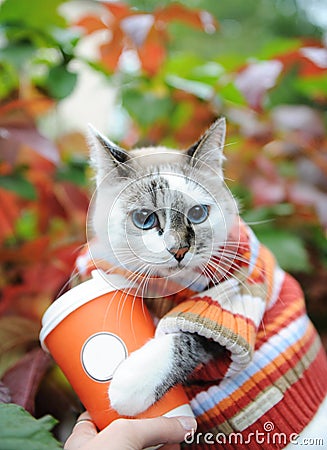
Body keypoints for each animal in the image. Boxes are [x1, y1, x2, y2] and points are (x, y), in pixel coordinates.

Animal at [86, 118, 327, 448]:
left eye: (198, 213)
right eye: (145, 219)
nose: (178, 249)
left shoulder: (237, 296)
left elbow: (190, 335)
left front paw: (129, 385)